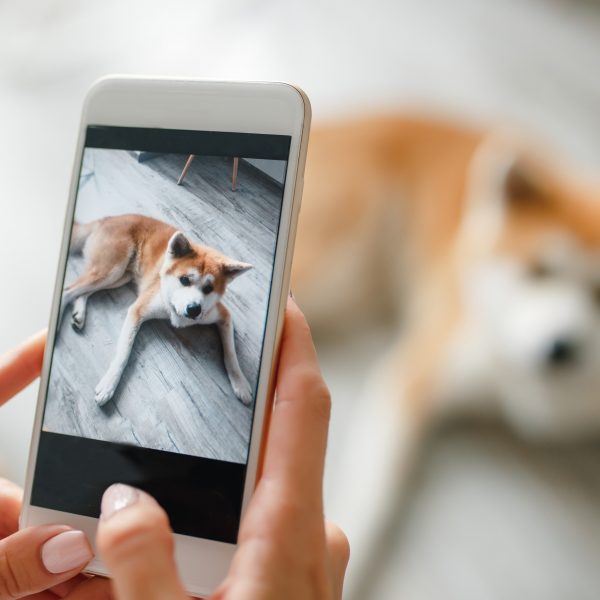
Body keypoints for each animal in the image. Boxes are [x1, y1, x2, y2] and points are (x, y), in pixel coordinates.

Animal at [62, 214, 253, 408]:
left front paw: (241, 383)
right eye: (184, 280)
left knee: (82, 291)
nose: (194, 309)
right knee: (68, 290)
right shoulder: (137, 310)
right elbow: (123, 353)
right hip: (111, 270)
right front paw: (109, 384)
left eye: (208, 288)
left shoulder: (223, 315)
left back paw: (79, 313)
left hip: (119, 277)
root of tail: (109, 218)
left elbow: (231, 355)